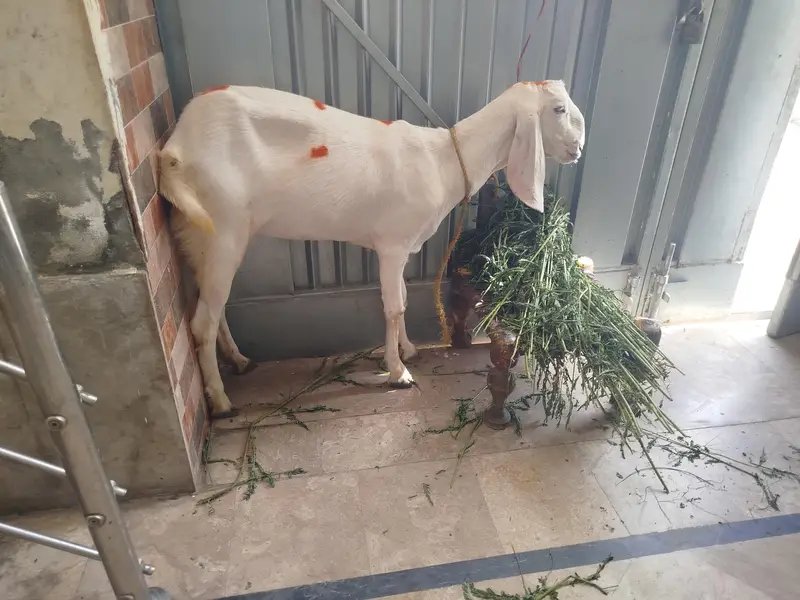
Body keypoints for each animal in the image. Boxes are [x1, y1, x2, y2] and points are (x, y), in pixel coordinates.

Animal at [158, 80, 585, 417]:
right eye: (559, 109)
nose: (579, 148)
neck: (443, 161)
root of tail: (174, 148)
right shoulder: (392, 244)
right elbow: (393, 307)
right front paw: (397, 372)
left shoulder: (401, 245)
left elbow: (402, 299)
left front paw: (409, 350)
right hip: (223, 228)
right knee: (201, 321)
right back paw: (220, 401)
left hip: (199, 235)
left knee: (212, 307)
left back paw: (240, 360)